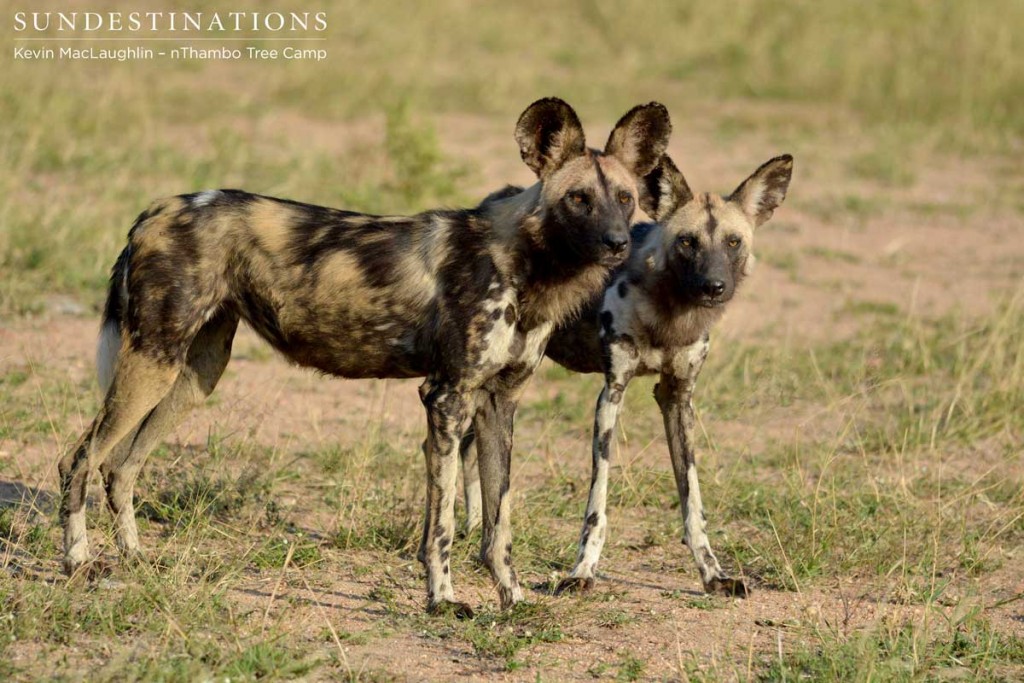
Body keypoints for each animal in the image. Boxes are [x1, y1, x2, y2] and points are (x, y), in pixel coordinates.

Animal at [59, 98, 675, 618]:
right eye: (579, 199)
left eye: (625, 198)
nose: (617, 243)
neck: (528, 267)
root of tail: (155, 209)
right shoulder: (446, 399)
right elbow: (443, 525)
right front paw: (442, 600)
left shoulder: (498, 405)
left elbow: (497, 524)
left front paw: (513, 600)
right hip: (152, 362)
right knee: (80, 460)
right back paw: (78, 563)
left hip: (193, 374)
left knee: (120, 467)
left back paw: (136, 559)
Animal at [462, 153, 790, 598]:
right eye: (688, 241)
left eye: (733, 242)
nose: (714, 286)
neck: (670, 315)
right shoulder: (611, 395)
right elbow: (597, 503)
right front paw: (582, 571)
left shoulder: (678, 398)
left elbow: (693, 501)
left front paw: (712, 574)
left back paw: (473, 530)